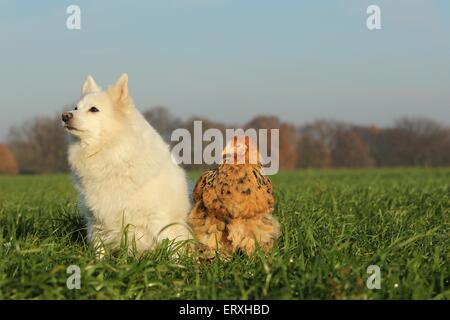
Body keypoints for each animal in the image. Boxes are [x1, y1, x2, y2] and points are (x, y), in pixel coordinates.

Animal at [62, 74, 191, 255]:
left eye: (94, 109)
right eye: (75, 108)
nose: (65, 115)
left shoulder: (160, 218)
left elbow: (172, 249)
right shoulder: (96, 221)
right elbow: (99, 249)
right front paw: (97, 261)